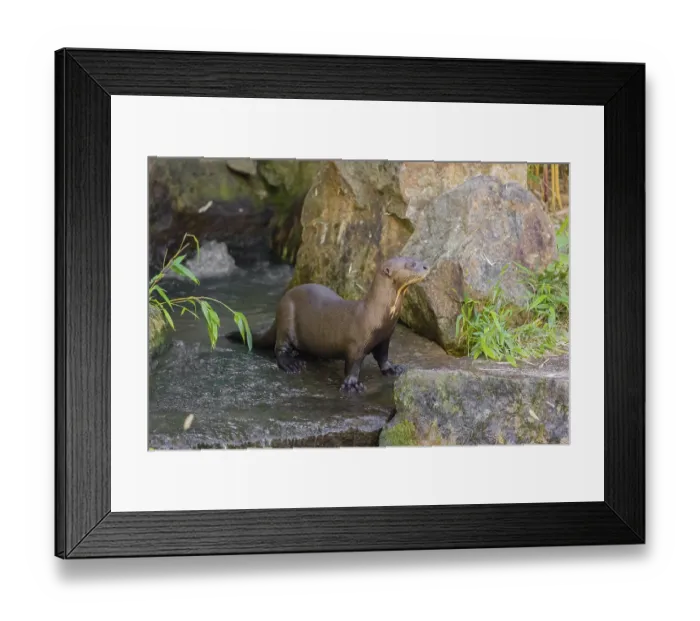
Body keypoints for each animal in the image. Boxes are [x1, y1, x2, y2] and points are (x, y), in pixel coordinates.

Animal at [225, 257, 431, 392]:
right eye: (411, 264)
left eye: (417, 257)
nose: (426, 265)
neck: (379, 316)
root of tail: (281, 303)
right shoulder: (356, 345)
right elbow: (353, 365)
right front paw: (352, 384)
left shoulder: (385, 337)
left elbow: (383, 357)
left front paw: (393, 369)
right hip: (286, 319)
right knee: (279, 348)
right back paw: (292, 364)